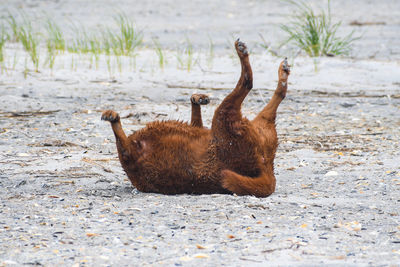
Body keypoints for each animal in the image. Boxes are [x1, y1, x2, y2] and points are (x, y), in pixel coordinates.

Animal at [102, 40, 290, 199]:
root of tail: (266, 169)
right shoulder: (131, 154)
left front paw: (197, 98)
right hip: (231, 123)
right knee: (252, 84)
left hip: (228, 121)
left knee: (250, 83)